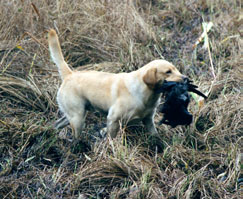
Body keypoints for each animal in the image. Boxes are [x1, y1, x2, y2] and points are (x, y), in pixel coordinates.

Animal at [48, 29, 187, 138]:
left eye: (176, 69)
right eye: (168, 72)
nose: (186, 78)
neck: (145, 93)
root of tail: (70, 74)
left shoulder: (148, 120)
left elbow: (155, 135)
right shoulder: (113, 119)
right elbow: (111, 137)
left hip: (73, 114)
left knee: (57, 124)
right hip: (78, 118)